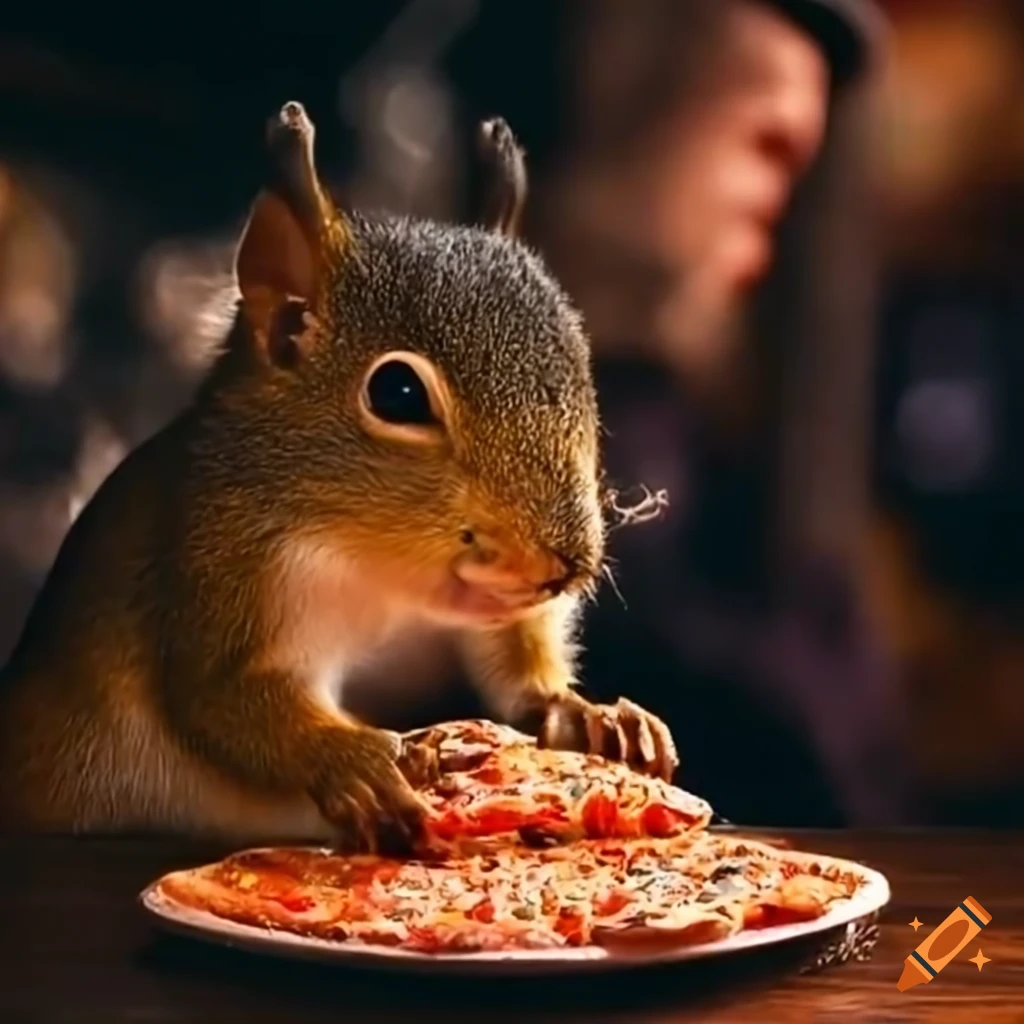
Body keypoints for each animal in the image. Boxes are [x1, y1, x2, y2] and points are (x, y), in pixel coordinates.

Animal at [0, 102, 677, 849]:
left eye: (581, 370)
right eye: (398, 394)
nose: (566, 567)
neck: (370, 568)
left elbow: (510, 666)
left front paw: (591, 714)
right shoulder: (209, 570)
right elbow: (217, 697)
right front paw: (356, 760)